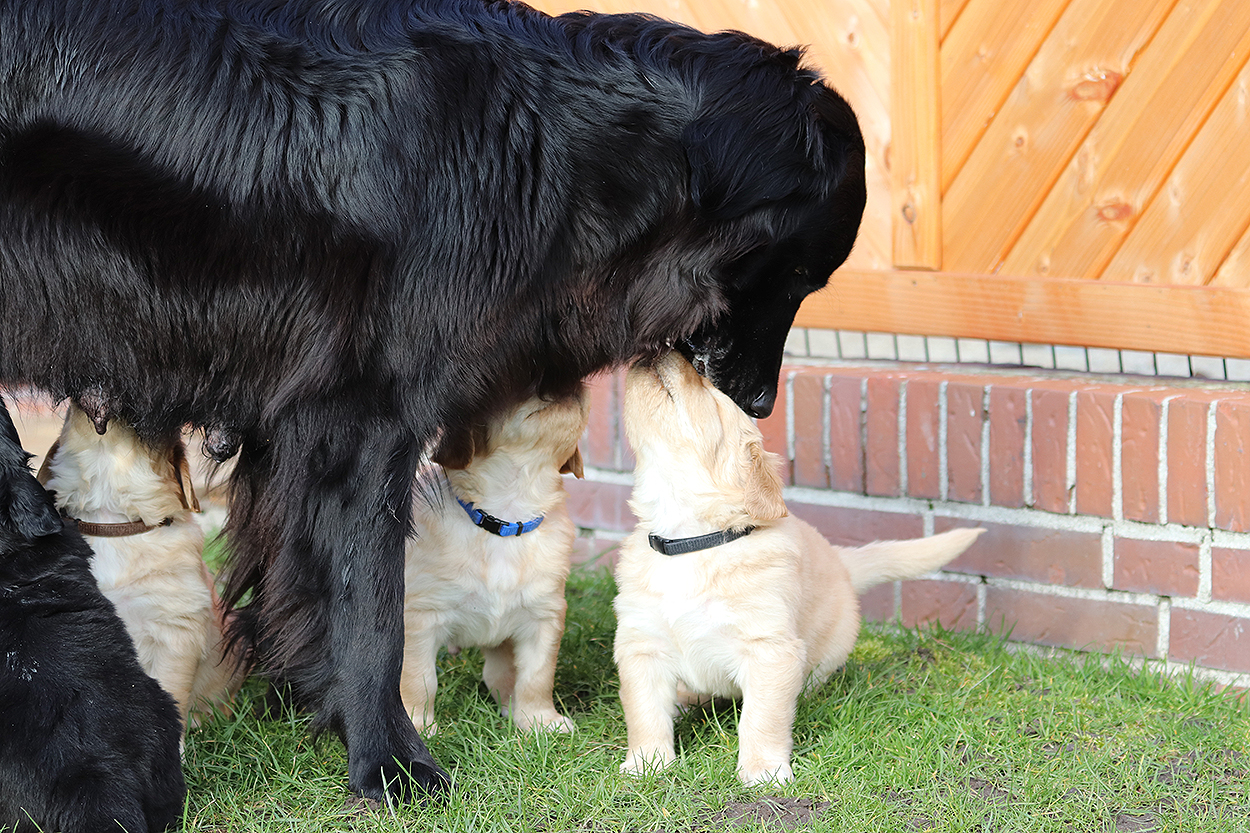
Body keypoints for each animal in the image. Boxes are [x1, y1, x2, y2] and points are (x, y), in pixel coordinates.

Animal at [401, 389, 589, 735]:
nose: (570, 386)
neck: (506, 521)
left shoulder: (543, 616)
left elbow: (535, 677)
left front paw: (539, 720)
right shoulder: (420, 617)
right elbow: (419, 680)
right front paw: (417, 727)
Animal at [613, 353, 984, 786]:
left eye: (712, 393)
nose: (666, 350)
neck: (691, 542)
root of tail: (842, 562)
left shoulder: (770, 649)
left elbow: (762, 717)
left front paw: (764, 771)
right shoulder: (641, 646)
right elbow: (644, 712)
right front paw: (646, 764)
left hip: (825, 652)